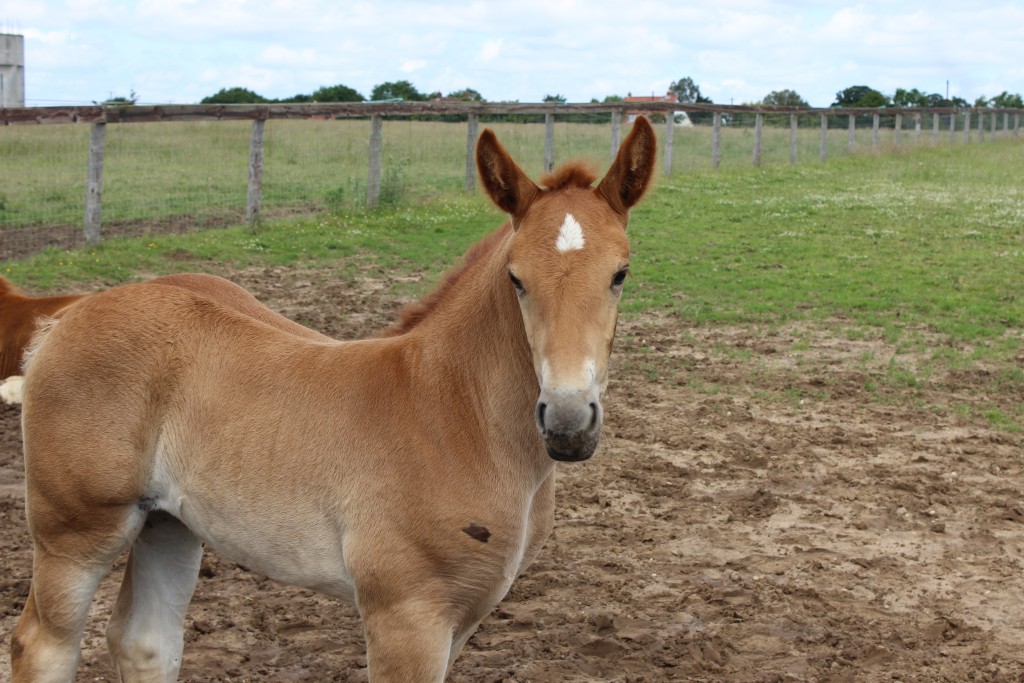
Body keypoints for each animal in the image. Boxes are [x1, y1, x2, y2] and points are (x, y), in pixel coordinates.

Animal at [12, 118, 655, 683]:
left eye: (621, 273)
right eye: (517, 278)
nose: (567, 421)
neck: (452, 413)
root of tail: (67, 316)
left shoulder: (466, 617)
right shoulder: (405, 615)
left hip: (166, 523)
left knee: (145, 642)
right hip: (76, 531)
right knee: (41, 643)